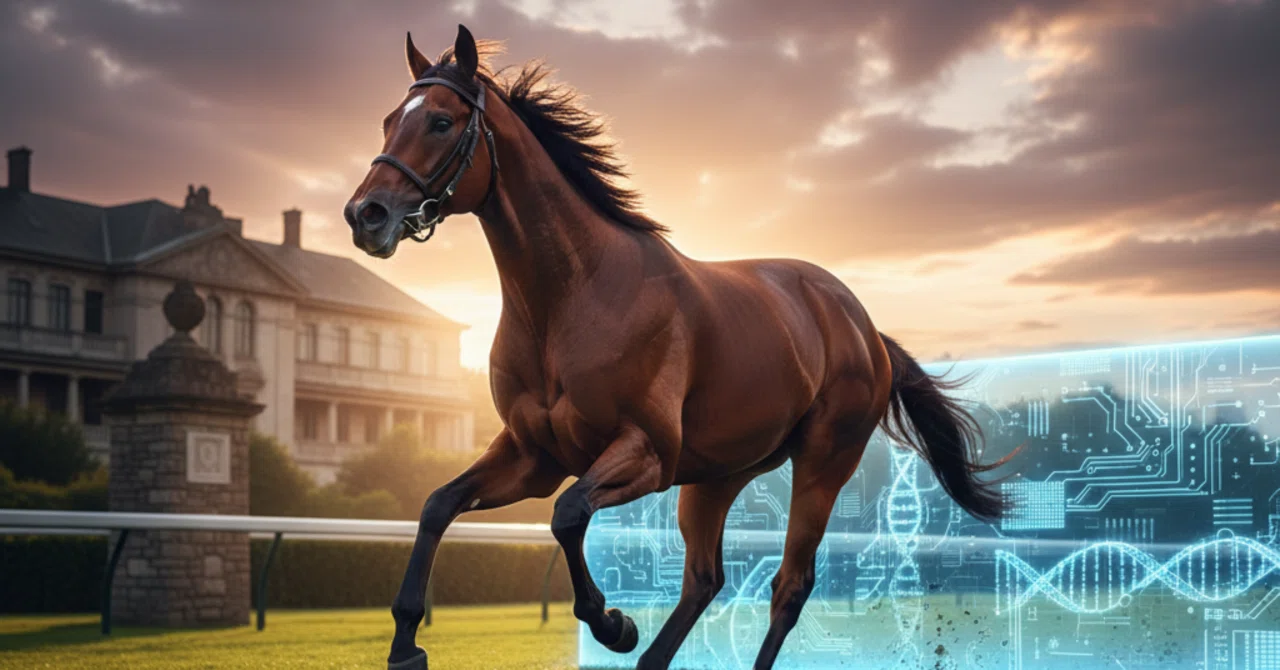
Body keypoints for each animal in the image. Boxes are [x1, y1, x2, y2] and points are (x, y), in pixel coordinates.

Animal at [344, 25, 1008, 670]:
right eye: (389, 119)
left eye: (440, 121)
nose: (365, 214)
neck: (571, 298)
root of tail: (866, 331)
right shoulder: (534, 455)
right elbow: (438, 503)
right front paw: (406, 645)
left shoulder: (647, 452)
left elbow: (568, 515)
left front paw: (613, 624)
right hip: (719, 477)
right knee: (704, 580)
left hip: (822, 465)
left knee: (788, 588)